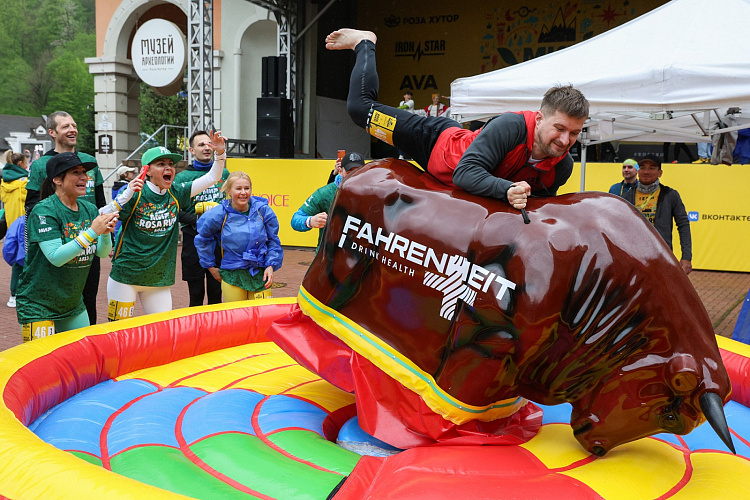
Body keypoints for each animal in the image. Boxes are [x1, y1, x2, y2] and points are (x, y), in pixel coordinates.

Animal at [268, 158, 736, 456]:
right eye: (669, 415)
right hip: (334, 274)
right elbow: (452, 400)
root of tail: (361, 171)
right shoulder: (486, 343)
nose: (596, 445)